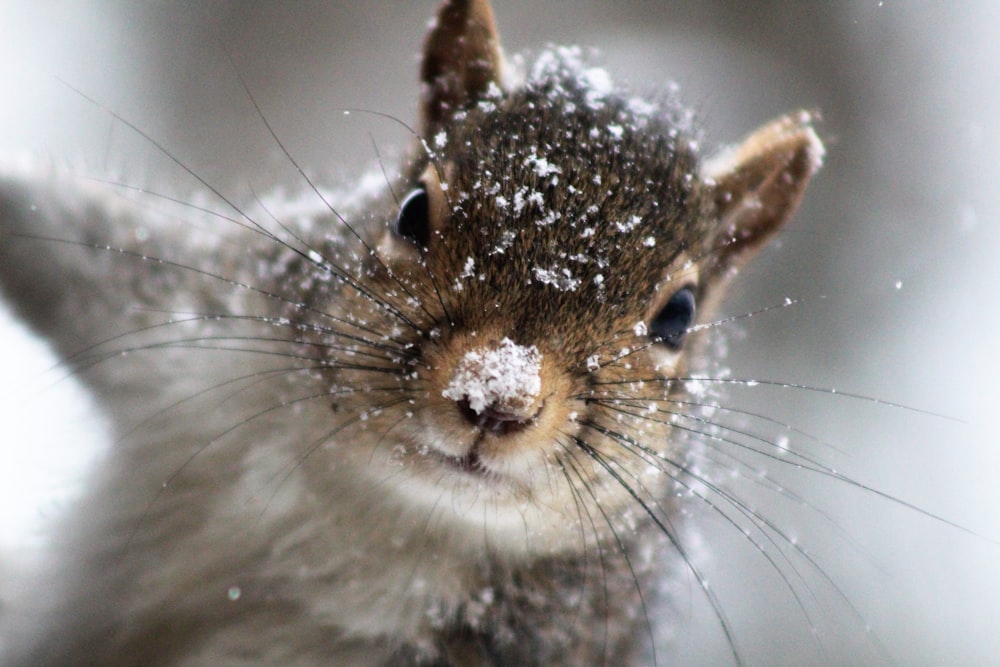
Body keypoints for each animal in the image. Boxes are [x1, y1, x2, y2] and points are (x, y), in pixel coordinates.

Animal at [0, 1, 820, 667]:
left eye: (679, 315)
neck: (381, 506)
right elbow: (58, 237)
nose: (497, 397)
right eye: (412, 211)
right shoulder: (190, 312)